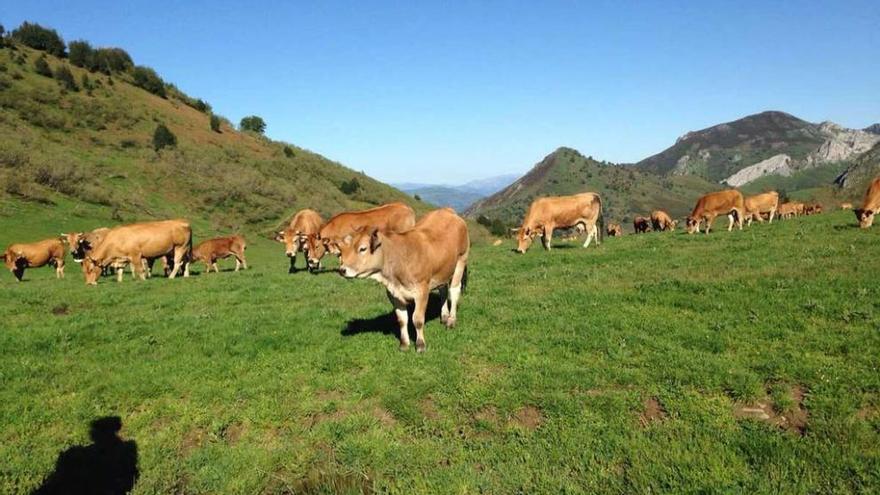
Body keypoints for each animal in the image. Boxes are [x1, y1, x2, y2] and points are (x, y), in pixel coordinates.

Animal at [338, 208, 470, 352]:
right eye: (348, 247)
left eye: (363, 248)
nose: (342, 270)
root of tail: (446, 210)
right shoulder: (394, 294)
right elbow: (402, 319)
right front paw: (404, 344)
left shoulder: (422, 291)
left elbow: (417, 319)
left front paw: (420, 345)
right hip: (443, 269)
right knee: (443, 290)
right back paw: (444, 316)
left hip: (461, 259)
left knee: (454, 290)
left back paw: (451, 320)